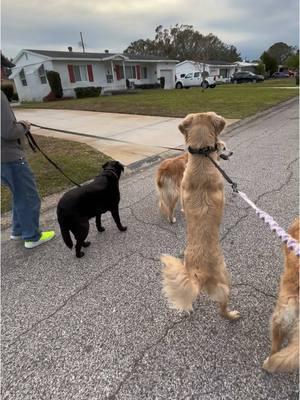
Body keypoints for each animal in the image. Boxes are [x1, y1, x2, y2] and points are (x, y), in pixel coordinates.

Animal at [161, 112, 240, 322]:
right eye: (223, 147)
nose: (232, 153)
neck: (202, 156)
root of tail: (199, 274)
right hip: (225, 280)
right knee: (222, 309)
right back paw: (232, 315)